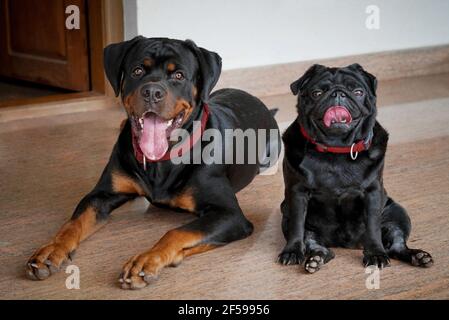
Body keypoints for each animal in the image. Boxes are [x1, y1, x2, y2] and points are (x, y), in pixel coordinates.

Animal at [26, 36, 278, 288]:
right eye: (137, 70)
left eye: (179, 75)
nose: (152, 92)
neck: (163, 160)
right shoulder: (101, 195)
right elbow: (73, 223)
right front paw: (52, 249)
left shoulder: (229, 214)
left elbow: (176, 232)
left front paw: (147, 260)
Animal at [278, 64, 432, 272]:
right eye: (317, 93)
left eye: (358, 92)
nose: (338, 94)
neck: (337, 149)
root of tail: (349, 244)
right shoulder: (297, 193)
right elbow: (297, 226)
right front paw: (292, 251)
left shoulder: (372, 193)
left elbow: (373, 227)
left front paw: (375, 253)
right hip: (288, 216)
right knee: (319, 246)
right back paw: (315, 259)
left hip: (397, 213)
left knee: (396, 245)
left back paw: (418, 256)